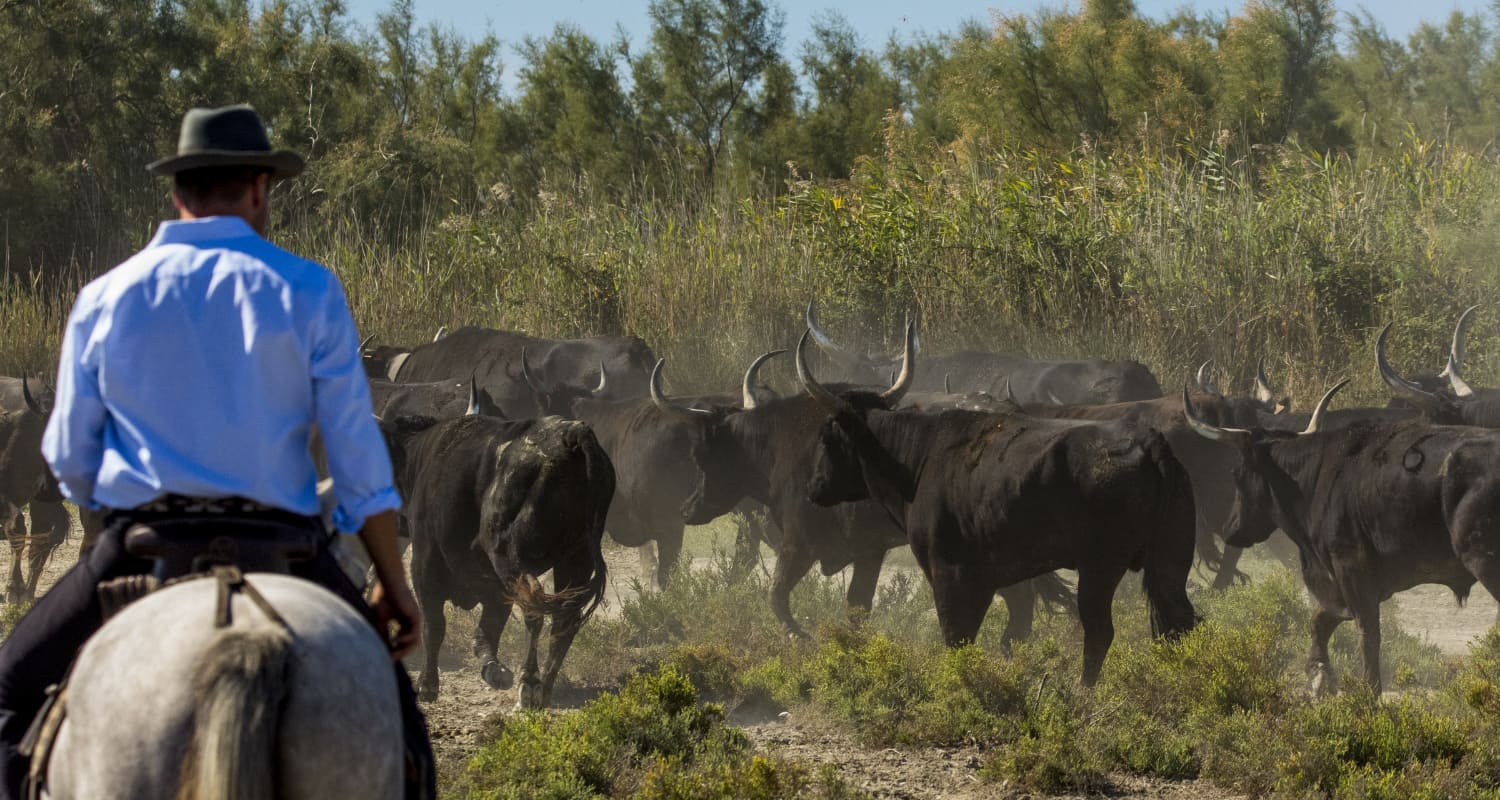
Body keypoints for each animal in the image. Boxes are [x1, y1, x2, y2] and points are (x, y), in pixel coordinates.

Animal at [390, 411, 618, 705]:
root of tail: (570, 434)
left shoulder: (425, 563)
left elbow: (433, 624)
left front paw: (427, 686)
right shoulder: (493, 584)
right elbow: (488, 628)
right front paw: (494, 669)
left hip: (511, 556)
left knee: (534, 610)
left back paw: (529, 684)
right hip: (575, 561)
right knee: (564, 622)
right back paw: (544, 689)